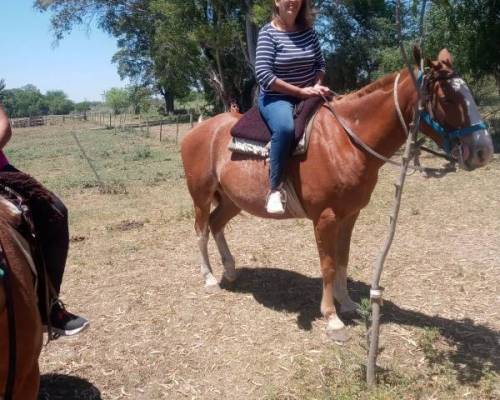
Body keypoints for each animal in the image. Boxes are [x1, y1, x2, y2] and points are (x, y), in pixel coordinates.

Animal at [180, 50, 492, 340]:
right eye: (447, 99)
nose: (483, 150)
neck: (345, 140)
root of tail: (197, 131)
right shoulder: (325, 218)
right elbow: (328, 264)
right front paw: (332, 318)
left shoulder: (350, 215)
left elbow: (343, 257)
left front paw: (348, 303)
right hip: (201, 196)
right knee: (201, 231)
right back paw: (209, 278)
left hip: (232, 201)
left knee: (216, 225)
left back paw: (230, 271)